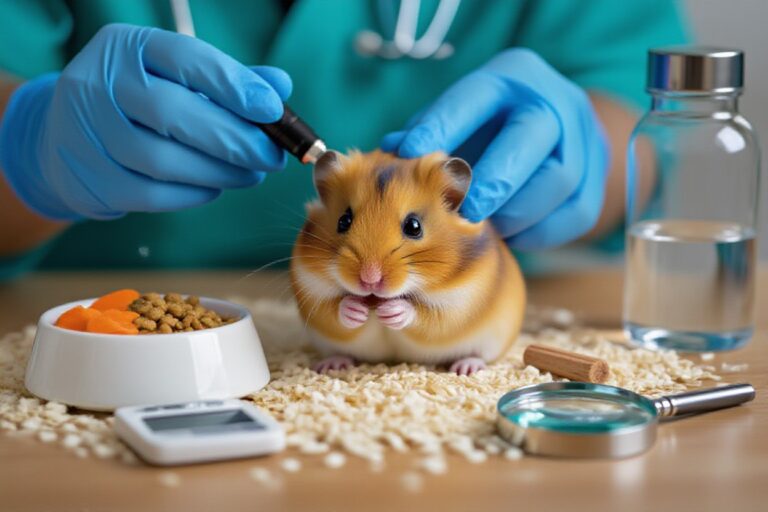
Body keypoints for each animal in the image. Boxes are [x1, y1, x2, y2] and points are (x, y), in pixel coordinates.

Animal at [290, 150, 526, 375]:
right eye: (343, 221)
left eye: (414, 226)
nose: (369, 279)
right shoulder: (311, 290)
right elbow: (333, 309)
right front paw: (355, 309)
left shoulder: (461, 302)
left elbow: (426, 315)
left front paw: (392, 311)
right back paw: (331, 365)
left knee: (477, 356)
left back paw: (466, 368)